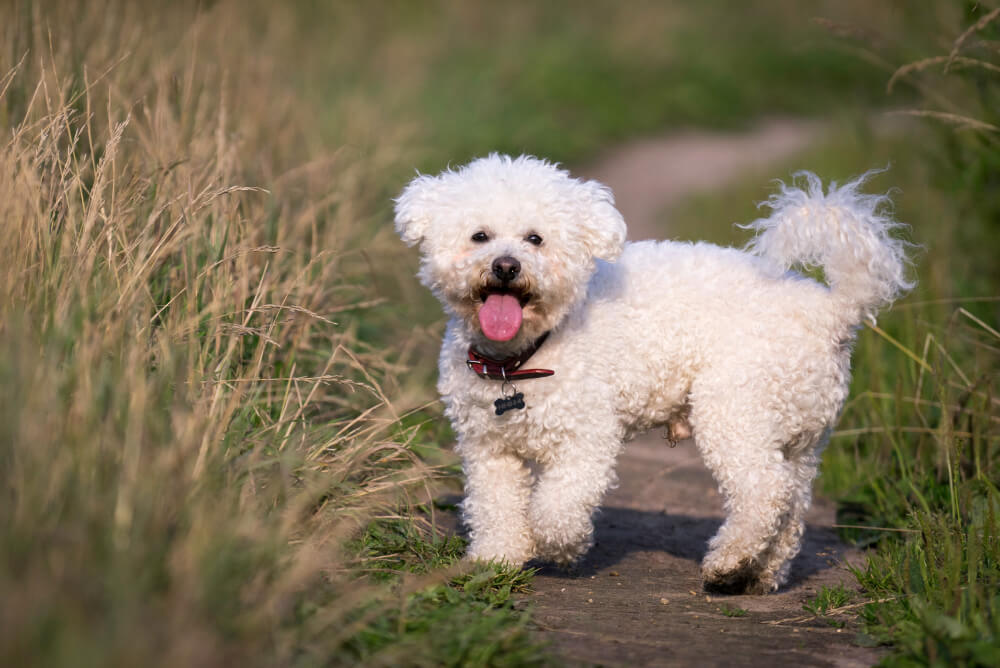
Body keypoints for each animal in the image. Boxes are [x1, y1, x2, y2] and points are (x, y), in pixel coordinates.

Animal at [394, 154, 912, 592]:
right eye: (479, 236)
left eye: (535, 238)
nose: (506, 266)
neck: (521, 359)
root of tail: (830, 310)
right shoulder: (488, 448)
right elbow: (495, 506)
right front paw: (497, 558)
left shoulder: (587, 439)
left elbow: (558, 506)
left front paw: (560, 547)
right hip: (801, 437)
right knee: (791, 505)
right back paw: (759, 573)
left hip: (735, 409)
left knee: (765, 491)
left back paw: (727, 561)